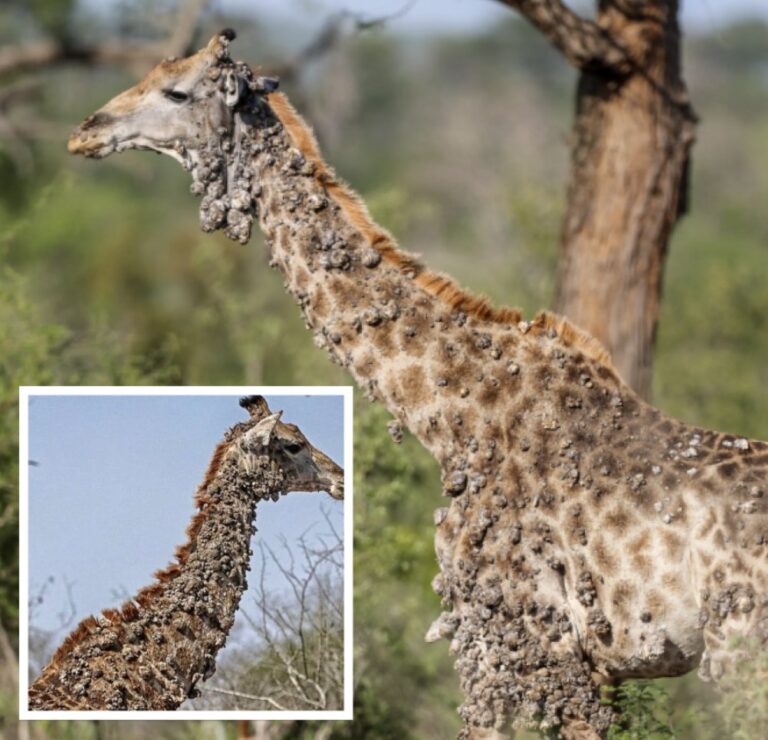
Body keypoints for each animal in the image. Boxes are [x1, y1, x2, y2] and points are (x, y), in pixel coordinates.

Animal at [67, 30, 768, 737]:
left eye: (176, 92)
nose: (84, 130)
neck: (454, 415)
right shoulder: (581, 659)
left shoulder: (515, 637)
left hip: (741, 653)